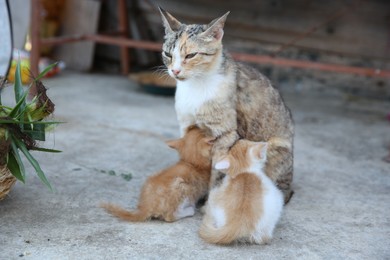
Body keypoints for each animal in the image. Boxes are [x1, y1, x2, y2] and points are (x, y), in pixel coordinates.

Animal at [160, 8, 294, 203]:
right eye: (168, 54)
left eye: (191, 55)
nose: (175, 71)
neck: (196, 86)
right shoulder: (186, 125)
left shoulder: (225, 134)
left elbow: (217, 172)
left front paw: (209, 201)